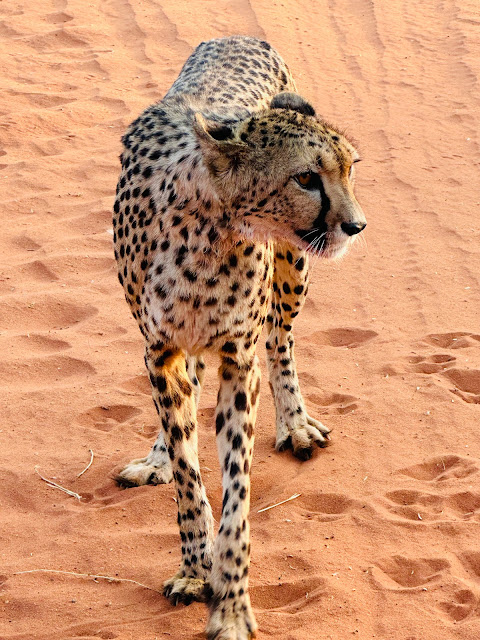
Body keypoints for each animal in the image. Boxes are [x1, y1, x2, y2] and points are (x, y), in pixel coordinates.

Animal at [112, 36, 366, 640]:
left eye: (351, 169)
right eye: (305, 177)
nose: (356, 225)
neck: (211, 223)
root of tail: (238, 37)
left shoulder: (238, 358)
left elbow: (237, 495)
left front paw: (229, 604)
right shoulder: (160, 350)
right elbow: (189, 475)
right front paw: (193, 568)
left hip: (295, 267)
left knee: (282, 340)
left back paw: (295, 424)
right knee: (183, 405)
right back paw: (156, 457)